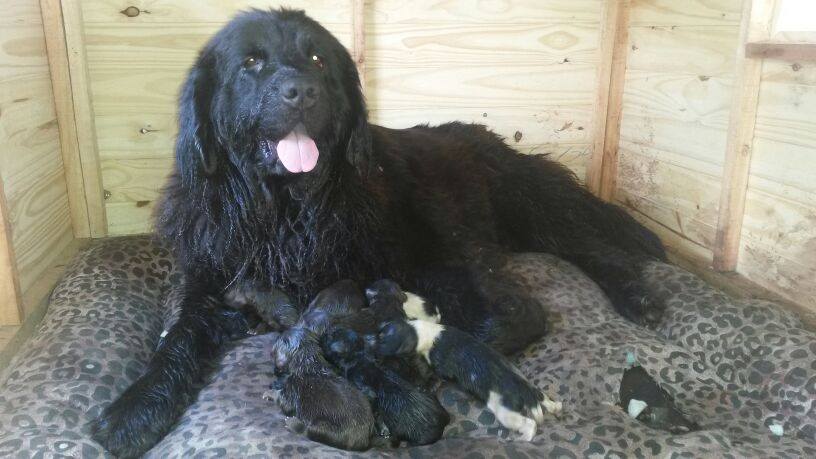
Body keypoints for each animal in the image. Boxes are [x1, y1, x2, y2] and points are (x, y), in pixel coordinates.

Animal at [372, 280, 564, 442]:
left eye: (383, 340)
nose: (372, 351)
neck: (423, 330)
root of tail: (528, 394)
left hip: (507, 414)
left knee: (529, 424)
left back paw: (525, 438)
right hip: (536, 392)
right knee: (546, 401)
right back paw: (556, 406)